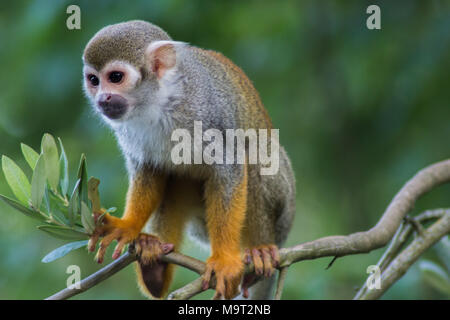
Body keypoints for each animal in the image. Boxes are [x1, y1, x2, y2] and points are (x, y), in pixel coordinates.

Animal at [83, 20, 296, 300]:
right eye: (94, 80)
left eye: (115, 77)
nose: (102, 98)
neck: (159, 102)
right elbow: (149, 169)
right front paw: (128, 226)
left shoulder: (206, 111)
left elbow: (229, 168)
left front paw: (224, 260)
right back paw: (155, 267)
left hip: (283, 209)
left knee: (254, 154)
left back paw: (259, 251)